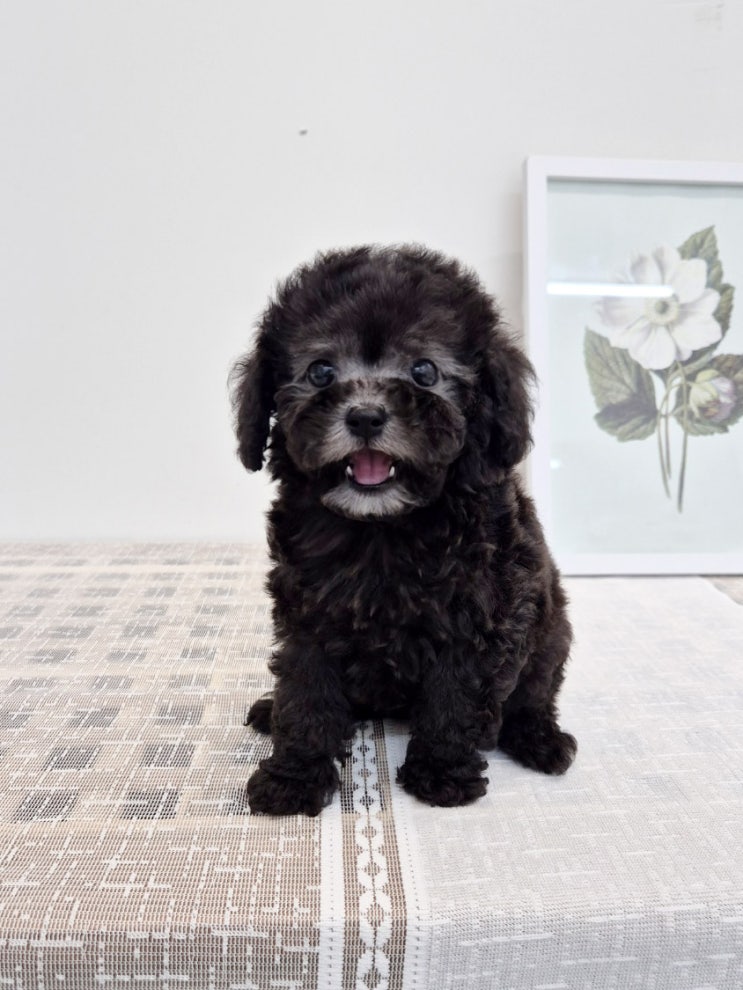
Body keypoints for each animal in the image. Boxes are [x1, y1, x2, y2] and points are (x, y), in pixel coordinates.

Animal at [231, 244, 576, 815]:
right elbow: (306, 690)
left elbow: (455, 695)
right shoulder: (306, 611)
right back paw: (267, 709)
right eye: (321, 371)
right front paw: (294, 776)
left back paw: (539, 739)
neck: (383, 526)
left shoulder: (482, 613)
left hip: (552, 635)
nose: (366, 416)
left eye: (424, 371)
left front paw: (442, 773)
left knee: (535, 694)